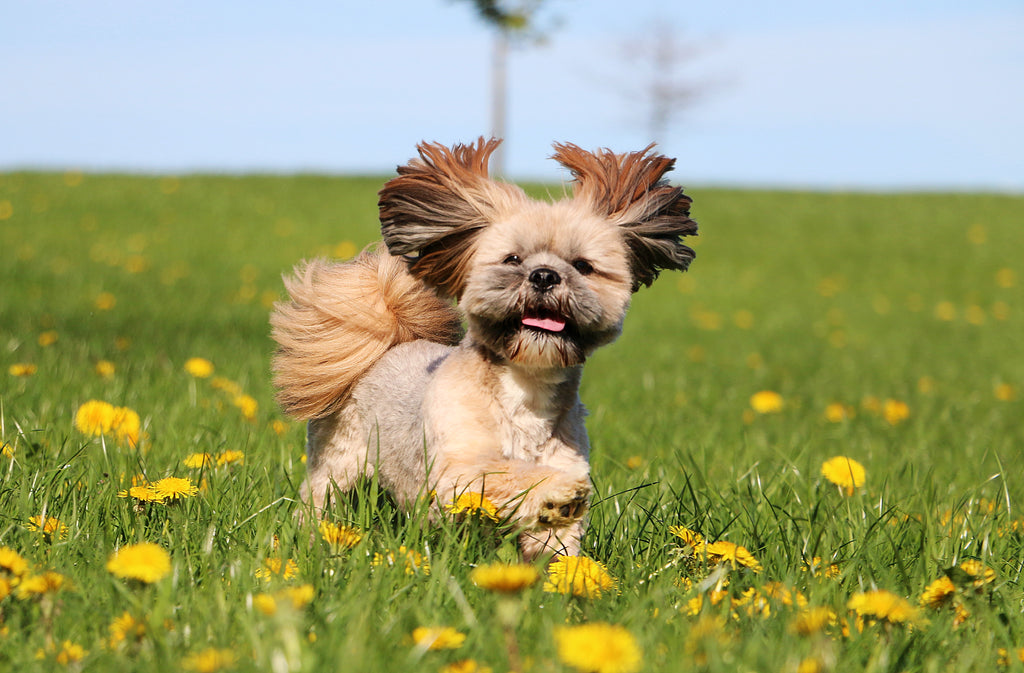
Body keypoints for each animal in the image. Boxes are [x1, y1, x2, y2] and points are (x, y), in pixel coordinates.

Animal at [270, 136, 696, 557]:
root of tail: (389, 346)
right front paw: (555, 490)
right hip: (337, 463)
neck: (526, 393)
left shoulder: (566, 463)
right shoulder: (457, 471)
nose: (545, 275)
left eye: (583, 266)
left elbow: (557, 547)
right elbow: (508, 474)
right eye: (513, 259)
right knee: (318, 500)